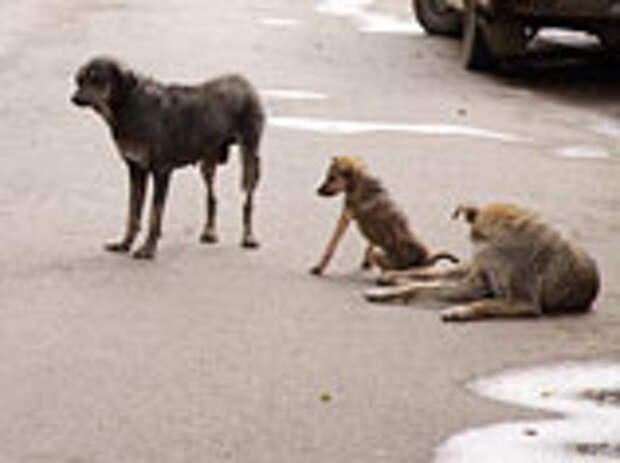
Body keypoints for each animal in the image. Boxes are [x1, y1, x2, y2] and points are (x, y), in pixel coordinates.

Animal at [70, 56, 264, 260]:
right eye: (80, 79)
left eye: (97, 79)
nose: (74, 98)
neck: (131, 106)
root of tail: (243, 81)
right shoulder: (136, 169)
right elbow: (133, 212)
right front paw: (125, 243)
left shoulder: (161, 171)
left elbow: (155, 215)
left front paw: (148, 249)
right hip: (208, 164)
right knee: (212, 197)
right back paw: (209, 231)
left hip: (250, 160)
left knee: (248, 201)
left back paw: (249, 237)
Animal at [312, 158, 458, 278]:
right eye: (328, 176)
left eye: (332, 177)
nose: (317, 191)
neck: (359, 181)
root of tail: (425, 260)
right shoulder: (369, 232)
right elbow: (370, 243)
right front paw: (365, 261)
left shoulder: (344, 218)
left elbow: (331, 246)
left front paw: (319, 268)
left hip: (380, 255)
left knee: (386, 269)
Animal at [366, 203, 600, 322]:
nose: (479, 256)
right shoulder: (476, 279)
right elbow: (421, 285)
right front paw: (387, 292)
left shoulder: (521, 302)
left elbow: (483, 303)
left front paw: (460, 311)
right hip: (466, 269)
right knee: (432, 272)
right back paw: (394, 276)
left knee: (435, 276)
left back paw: (394, 278)